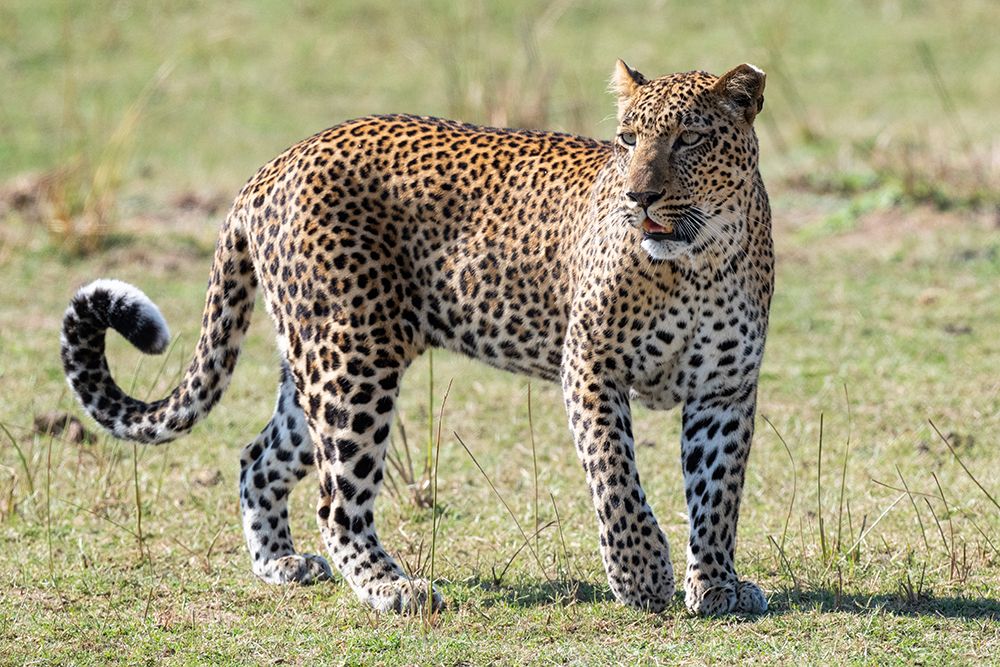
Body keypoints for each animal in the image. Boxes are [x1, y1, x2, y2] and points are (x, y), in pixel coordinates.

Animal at [60, 61, 773, 616]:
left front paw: (717, 585)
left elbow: (717, 493)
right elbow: (615, 473)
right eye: (628, 139)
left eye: (689, 139)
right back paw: (393, 589)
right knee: (336, 500)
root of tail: (271, 166)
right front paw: (641, 574)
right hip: (355, 358)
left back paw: (281, 566)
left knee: (258, 457)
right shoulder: (591, 366)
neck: (699, 260)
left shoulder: (725, 390)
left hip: (316, 363)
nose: (638, 196)